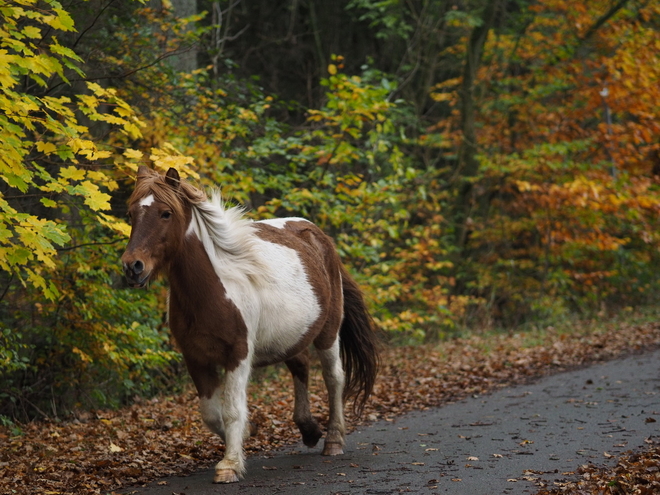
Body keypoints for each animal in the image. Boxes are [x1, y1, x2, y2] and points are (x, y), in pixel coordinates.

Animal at [120, 168, 378, 484]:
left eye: (166, 213)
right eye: (131, 213)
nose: (133, 267)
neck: (213, 290)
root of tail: (318, 236)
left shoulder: (238, 354)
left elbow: (231, 409)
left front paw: (230, 465)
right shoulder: (195, 359)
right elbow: (211, 414)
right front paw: (246, 436)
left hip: (328, 332)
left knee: (334, 378)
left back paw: (333, 440)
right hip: (292, 337)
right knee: (301, 367)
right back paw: (309, 430)